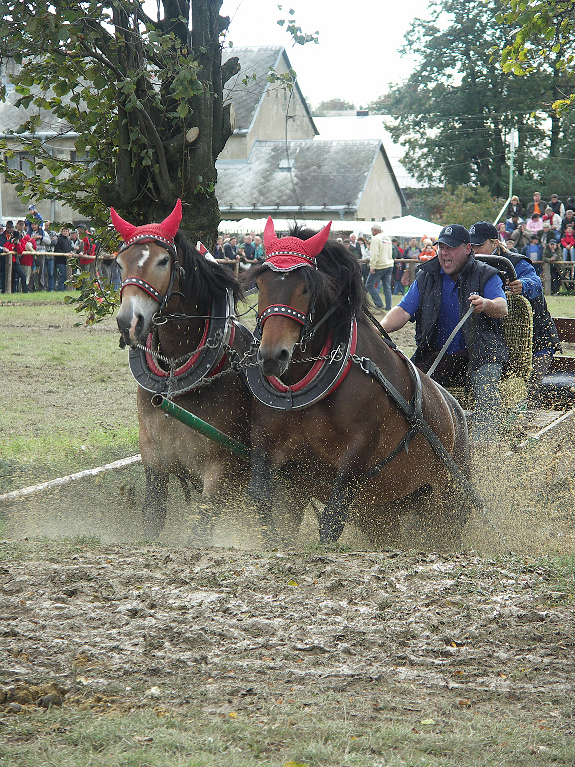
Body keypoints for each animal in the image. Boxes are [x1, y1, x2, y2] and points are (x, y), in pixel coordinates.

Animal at [113, 201, 253, 544]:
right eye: (119, 263)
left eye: (163, 260)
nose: (128, 322)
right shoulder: (153, 458)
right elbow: (153, 518)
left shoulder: (219, 470)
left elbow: (200, 529)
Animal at [248, 219, 476, 548]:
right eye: (261, 284)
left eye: (306, 287)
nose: (272, 356)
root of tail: (457, 413)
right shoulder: (267, 444)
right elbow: (261, 501)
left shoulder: (357, 453)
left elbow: (331, 519)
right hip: (383, 511)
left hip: (446, 499)